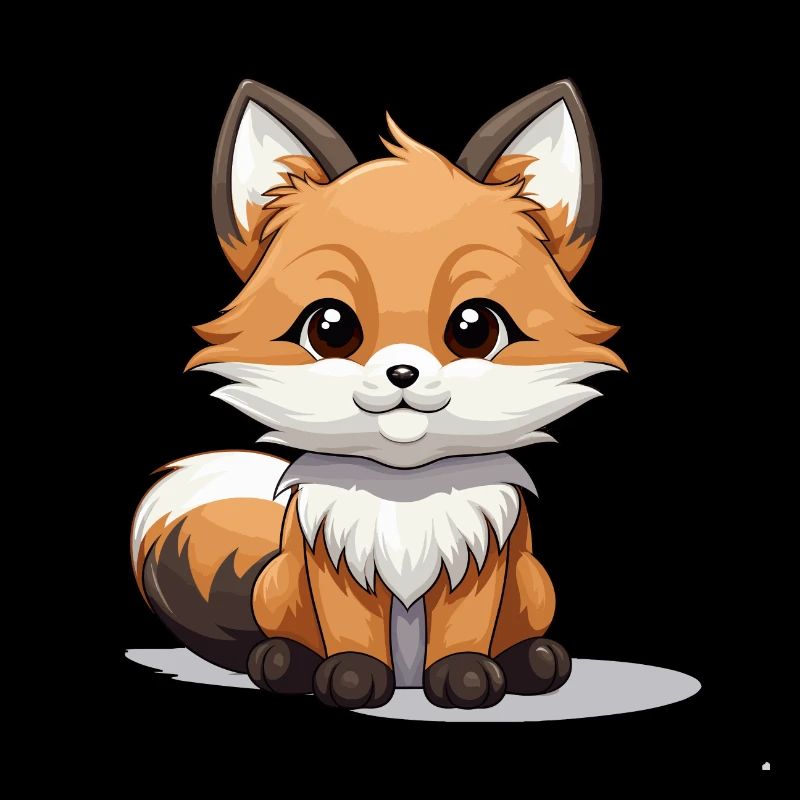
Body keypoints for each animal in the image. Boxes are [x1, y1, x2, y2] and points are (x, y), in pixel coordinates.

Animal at [131, 79, 624, 710]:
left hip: (537, 583)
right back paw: (282, 661)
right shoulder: (333, 561)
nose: (403, 373)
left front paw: (466, 676)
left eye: (475, 329)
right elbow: (350, 629)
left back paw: (532, 661)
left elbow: (465, 630)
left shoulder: (481, 561)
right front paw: (350, 677)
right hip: (277, 582)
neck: (404, 490)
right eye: (330, 328)